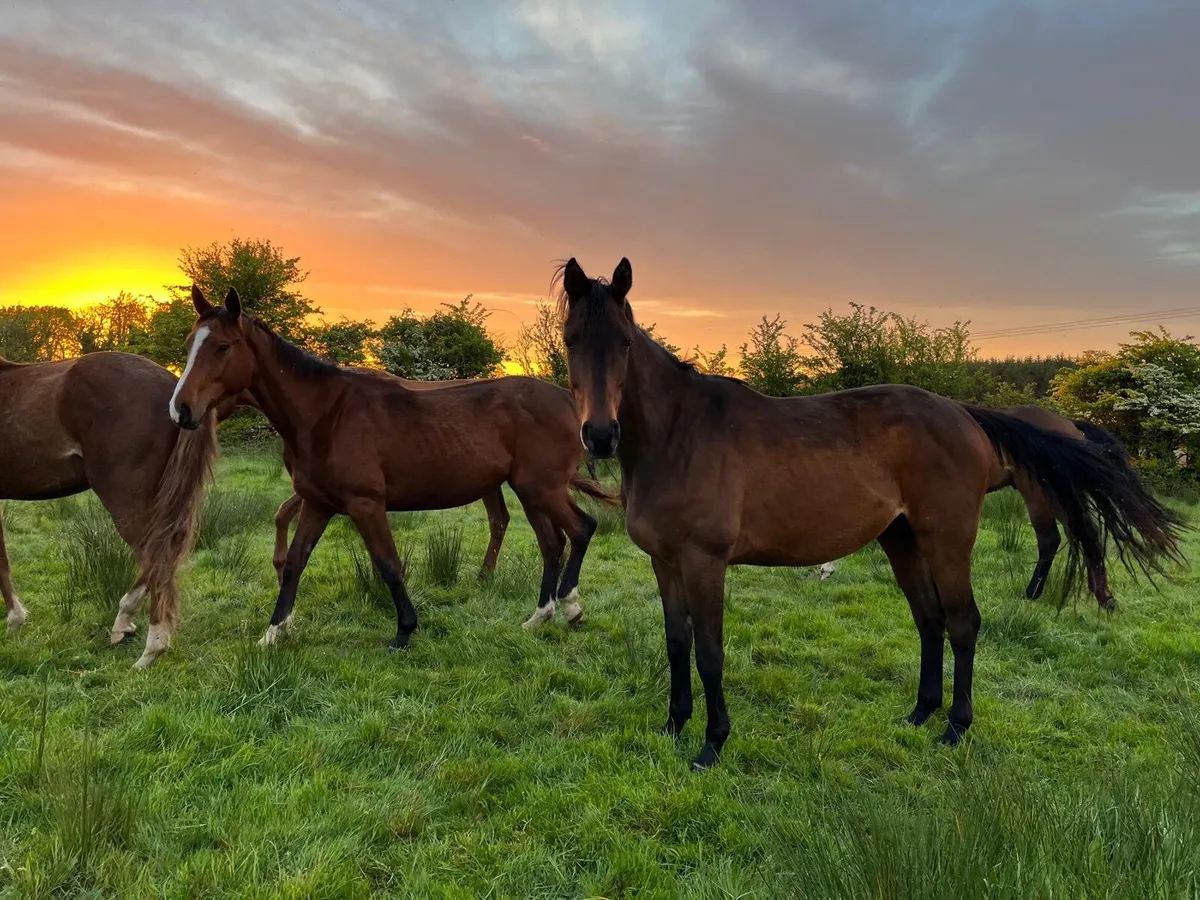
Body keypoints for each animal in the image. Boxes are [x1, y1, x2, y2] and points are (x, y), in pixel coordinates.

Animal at [0, 352, 217, 668]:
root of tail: (175, 387)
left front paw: (14, 619)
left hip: (125, 498)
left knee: (157, 556)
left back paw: (151, 649)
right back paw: (124, 622)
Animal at [169, 286, 616, 649]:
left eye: (223, 346)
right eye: (191, 343)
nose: (181, 409)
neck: (325, 413)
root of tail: (570, 403)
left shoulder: (366, 504)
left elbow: (388, 564)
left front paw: (404, 630)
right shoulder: (317, 504)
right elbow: (295, 561)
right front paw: (274, 632)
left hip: (540, 489)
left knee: (581, 530)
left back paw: (570, 607)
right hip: (531, 491)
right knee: (553, 543)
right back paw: (540, 616)